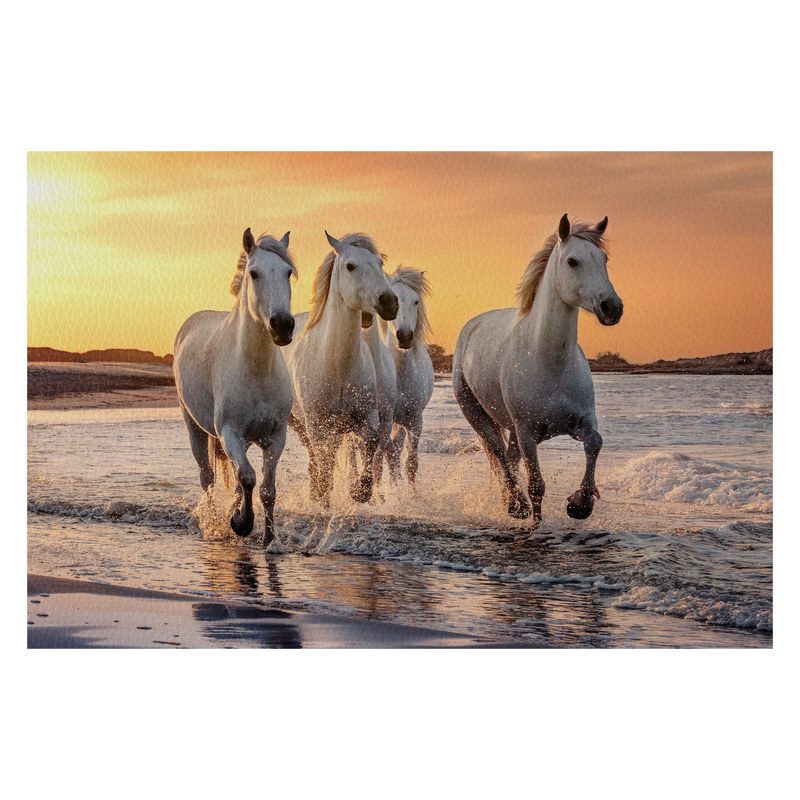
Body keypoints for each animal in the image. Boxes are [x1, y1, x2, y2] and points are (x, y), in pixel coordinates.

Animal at [174, 228, 296, 548]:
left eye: (288, 273)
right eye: (254, 274)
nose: (283, 325)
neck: (256, 370)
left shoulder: (276, 437)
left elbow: (266, 488)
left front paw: (269, 539)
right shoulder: (230, 433)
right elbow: (249, 478)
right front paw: (241, 524)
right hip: (194, 427)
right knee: (207, 478)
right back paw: (217, 525)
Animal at [284, 231, 404, 506]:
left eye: (380, 264)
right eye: (350, 266)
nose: (390, 302)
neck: (338, 366)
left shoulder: (368, 417)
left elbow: (370, 445)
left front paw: (360, 491)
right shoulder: (317, 425)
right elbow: (325, 462)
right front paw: (323, 495)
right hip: (299, 423)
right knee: (314, 456)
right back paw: (316, 491)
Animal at [454, 214, 620, 524]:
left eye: (604, 258)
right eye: (572, 261)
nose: (612, 307)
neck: (550, 362)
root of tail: (472, 326)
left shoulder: (581, 421)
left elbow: (595, 442)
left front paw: (580, 503)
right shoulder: (528, 433)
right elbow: (536, 486)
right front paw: (537, 523)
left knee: (508, 458)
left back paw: (511, 502)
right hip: (476, 413)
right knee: (498, 451)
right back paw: (516, 505)